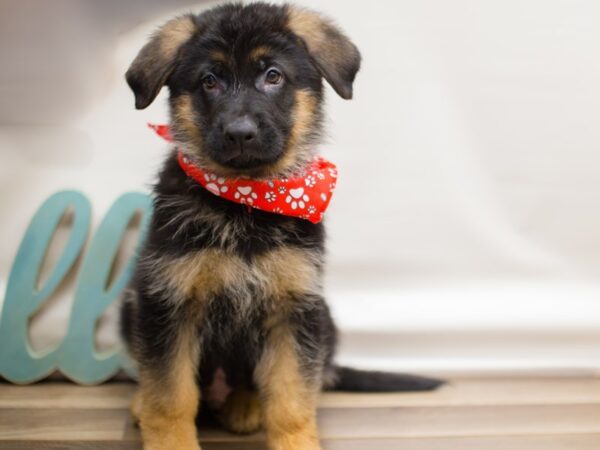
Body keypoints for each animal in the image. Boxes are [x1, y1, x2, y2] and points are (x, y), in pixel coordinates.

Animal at [120, 1, 440, 448]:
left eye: (273, 76)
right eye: (209, 81)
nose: (240, 134)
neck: (245, 202)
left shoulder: (293, 310)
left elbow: (290, 400)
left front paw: (296, 441)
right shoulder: (167, 302)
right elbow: (170, 398)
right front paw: (171, 441)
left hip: (324, 319)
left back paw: (246, 405)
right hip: (132, 304)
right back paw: (142, 405)